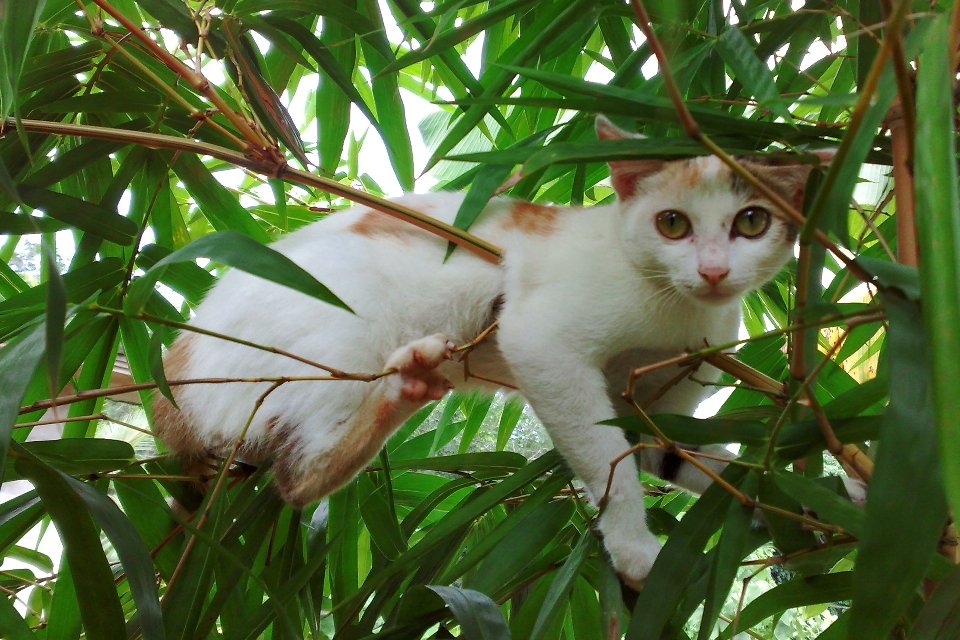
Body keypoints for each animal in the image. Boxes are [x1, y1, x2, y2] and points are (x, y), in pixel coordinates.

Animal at [156, 116, 824, 592]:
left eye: (752, 222)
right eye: (673, 224)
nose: (713, 272)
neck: (679, 313)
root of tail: (173, 365)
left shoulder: (657, 402)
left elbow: (692, 456)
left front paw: (807, 503)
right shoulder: (542, 343)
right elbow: (606, 461)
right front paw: (634, 549)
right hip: (339, 336)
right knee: (297, 479)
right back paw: (406, 387)